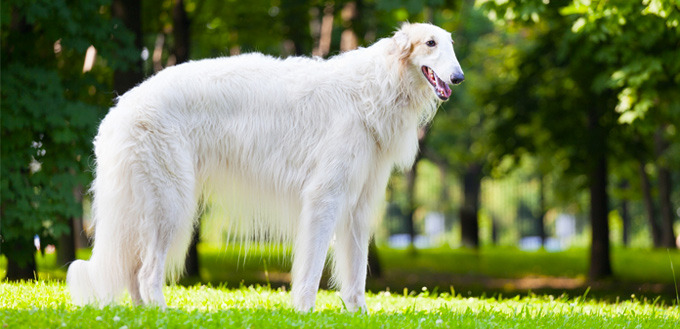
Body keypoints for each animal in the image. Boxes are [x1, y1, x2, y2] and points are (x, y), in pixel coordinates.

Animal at [66, 22, 464, 310]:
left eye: (451, 44)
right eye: (430, 43)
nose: (458, 77)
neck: (374, 88)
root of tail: (119, 110)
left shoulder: (359, 206)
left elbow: (355, 280)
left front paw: (359, 316)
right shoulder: (324, 197)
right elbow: (311, 270)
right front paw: (304, 313)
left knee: (134, 271)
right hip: (171, 203)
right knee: (148, 273)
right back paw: (163, 313)